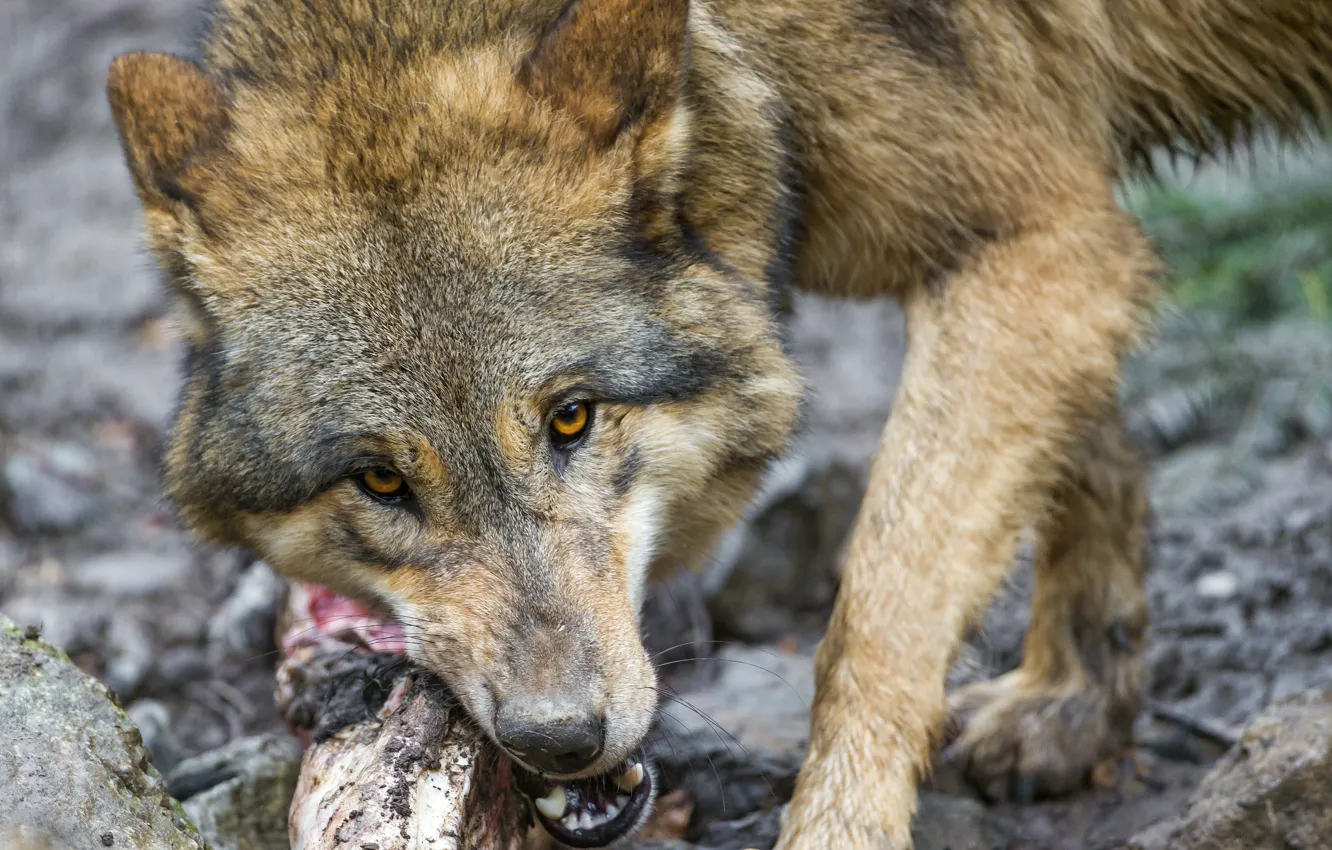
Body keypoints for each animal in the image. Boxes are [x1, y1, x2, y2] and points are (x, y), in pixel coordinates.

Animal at [106, 0, 1332, 847]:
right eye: (380, 481)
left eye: (571, 418)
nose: (558, 736)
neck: (750, 64)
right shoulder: (1058, 251)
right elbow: (1091, 455)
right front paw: (1075, 705)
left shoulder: (1041, 243)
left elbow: (876, 615)